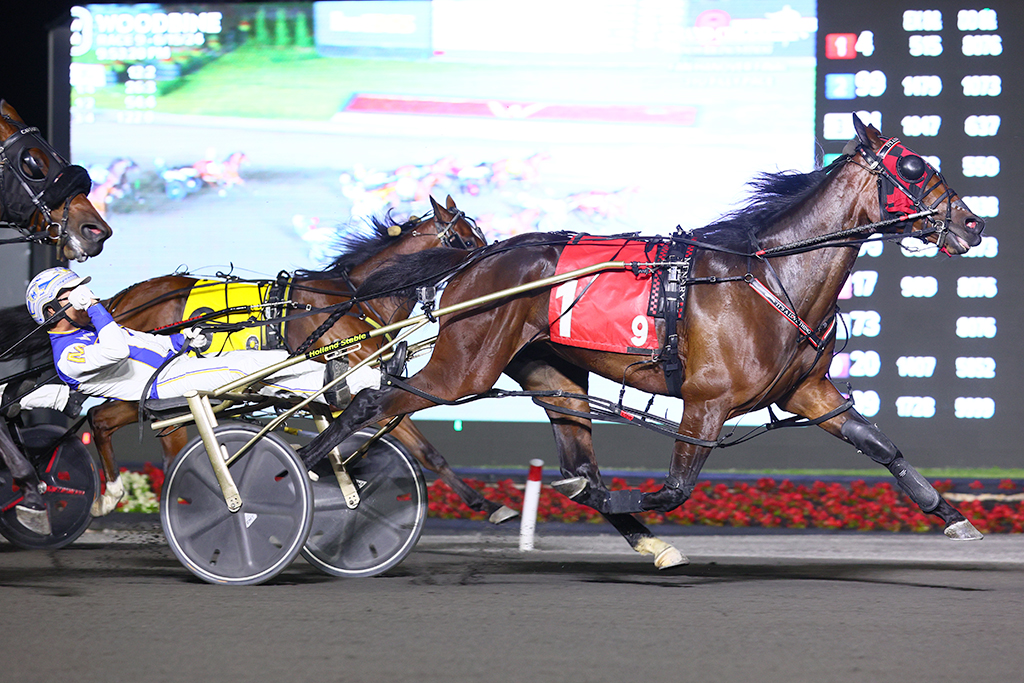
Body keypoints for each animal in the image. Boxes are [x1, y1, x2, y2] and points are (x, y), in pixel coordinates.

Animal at [299, 118, 987, 573]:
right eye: (913, 167)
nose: (973, 222)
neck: (772, 277)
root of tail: (479, 257)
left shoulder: (808, 391)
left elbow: (881, 445)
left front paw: (954, 516)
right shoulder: (706, 401)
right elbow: (676, 487)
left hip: (552, 375)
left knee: (575, 458)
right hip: (463, 367)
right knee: (374, 403)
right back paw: (301, 472)